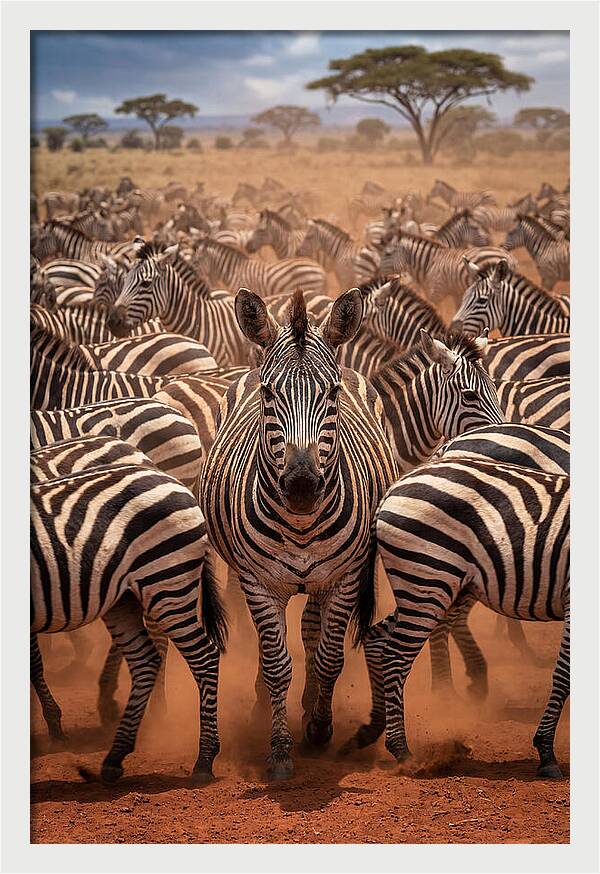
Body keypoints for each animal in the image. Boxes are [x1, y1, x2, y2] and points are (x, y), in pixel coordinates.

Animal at [31, 445, 227, 783]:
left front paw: (54, 727)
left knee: (203, 656)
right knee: (146, 659)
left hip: (166, 581)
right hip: (125, 597)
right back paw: (115, 754)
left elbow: (34, 664)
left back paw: (203, 759)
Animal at [201, 287, 398, 780]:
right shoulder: (258, 582)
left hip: (325, 579)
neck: (302, 525)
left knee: (312, 628)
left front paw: (319, 729)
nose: (303, 487)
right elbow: (275, 663)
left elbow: (329, 656)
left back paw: (310, 705)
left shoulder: (346, 577)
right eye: (269, 394)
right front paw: (279, 749)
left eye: (332, 394)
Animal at [356, 457, 569, 779]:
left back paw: (373, 728)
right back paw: (403, 752)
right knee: (395, 656)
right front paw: (546, 752)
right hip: (428, 578)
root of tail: (394, 487)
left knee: (376, 638)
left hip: (428, 586)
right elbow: (564, 674)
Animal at [379, 232, 517, 308]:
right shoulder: (456, 293)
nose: (378, 273)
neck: (429, 263)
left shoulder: (436, 293)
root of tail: (509, 256)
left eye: (387, 254)